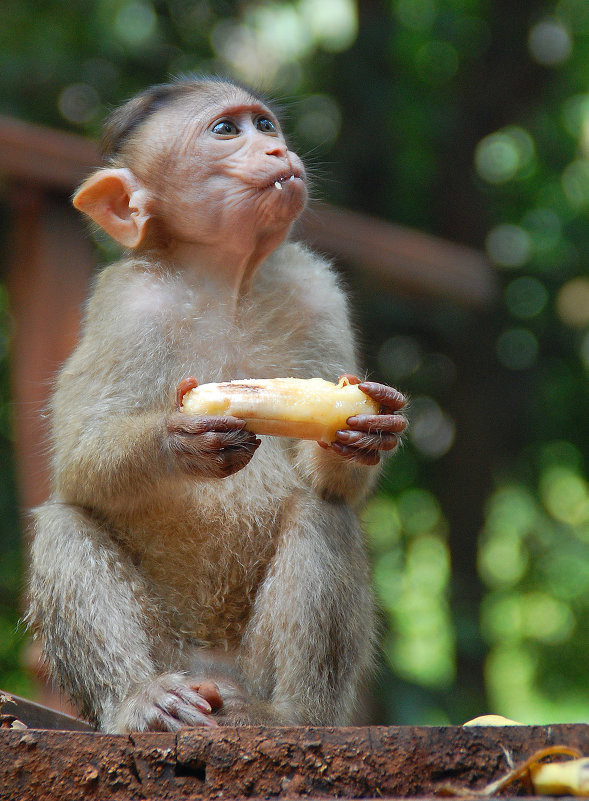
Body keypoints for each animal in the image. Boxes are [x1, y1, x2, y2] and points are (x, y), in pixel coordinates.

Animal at [26, 76, 404, 732]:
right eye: (226, 131)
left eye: (266, 125)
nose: (276, 150)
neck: (223, 280)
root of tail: (213, 672)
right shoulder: (126, 307)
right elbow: (79, 466)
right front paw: (181, 441)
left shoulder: (315, 290)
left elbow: (330, 484)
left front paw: (366, 432)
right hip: (171, 651)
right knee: (62, 523)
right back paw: (142, 701)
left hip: (250, 670)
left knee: (321, 512)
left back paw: (290, 717)